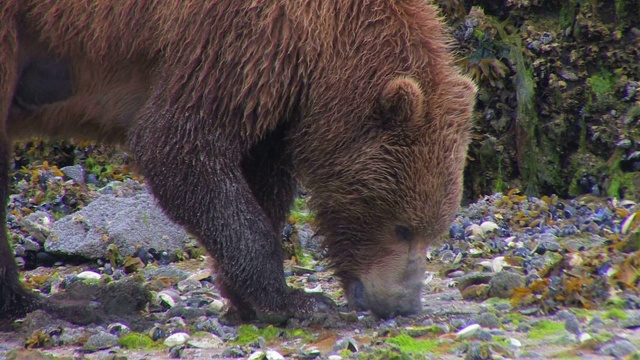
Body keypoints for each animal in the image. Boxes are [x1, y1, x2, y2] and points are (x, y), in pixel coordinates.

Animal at [0, 0, 476, 320]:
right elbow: (176, 144)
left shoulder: (275, 90)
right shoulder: (238, 38)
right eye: (402, 227)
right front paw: (296, 301)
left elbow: (261, 178)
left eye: (434, 231)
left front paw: (245, 296)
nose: (404, 304)